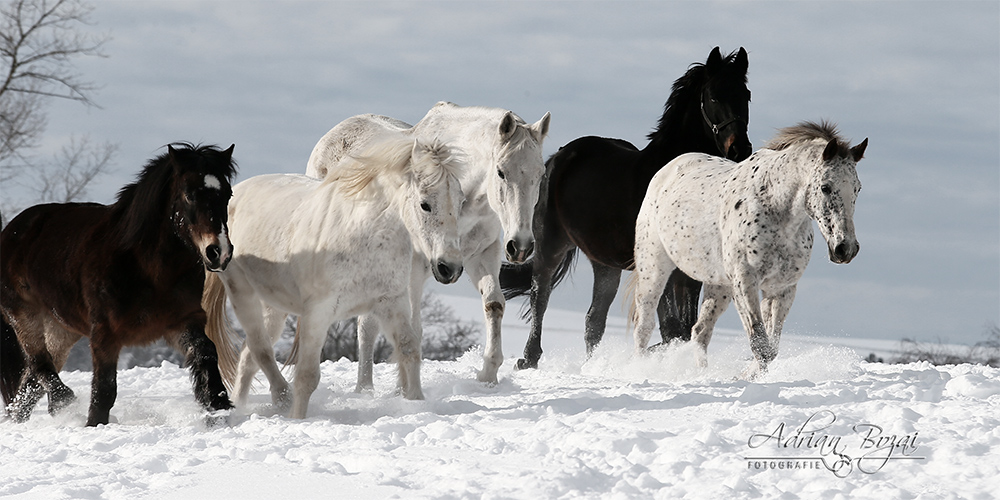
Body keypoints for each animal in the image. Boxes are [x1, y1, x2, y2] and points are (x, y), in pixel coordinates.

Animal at [0, 144, 237, 426]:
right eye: (189, 194)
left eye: (227, 194)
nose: (218, 252)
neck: (144, 266)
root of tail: (11, 230)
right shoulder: (105, 334)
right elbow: (104, 388)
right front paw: (94, 424)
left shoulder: (181, 321)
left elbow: (206, 352)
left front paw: (218, 405)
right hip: (24, 316)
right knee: (39, 364)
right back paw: (62, 403)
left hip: (61, 328)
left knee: (29, 383)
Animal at [204, 137, 468, 418]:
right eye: (425, 204)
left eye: (461, 202)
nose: (449, 267)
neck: (362, 234)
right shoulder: (318, 312)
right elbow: (307, 376)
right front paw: (298, 419)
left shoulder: (392, 302)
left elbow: (409, 351)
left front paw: (417, 403)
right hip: (243, 294)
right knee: (260, 349)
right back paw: (279, 400)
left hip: (274, 307)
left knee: (248, 357)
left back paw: (243, 405)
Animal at [308, 100, 552, 382]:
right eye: (501, 172)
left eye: (541, 175)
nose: (520, 246)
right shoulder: (414, 268)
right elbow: (412, 327)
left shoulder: (480, 256)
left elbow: (494, 304)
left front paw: (488, 375)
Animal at [500, 47, 752, 370]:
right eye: (713, 97)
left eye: (745, 95)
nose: (739, 149)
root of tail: (558, 157)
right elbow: (673, 328)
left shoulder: (689, 272)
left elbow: (685, 327)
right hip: (550, 245)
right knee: (539, 295)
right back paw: (529, 358)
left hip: (605, 264)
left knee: (593, 320)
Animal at [636, 122, 864, 376]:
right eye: (825, 187)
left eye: (857, 189)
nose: (845, 248)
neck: (776, 210)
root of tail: (666, 172)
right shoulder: (745, 282)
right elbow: (760, 343)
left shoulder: (781, 289)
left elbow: (770, 348)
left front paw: (747, 375)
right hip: (653, 269)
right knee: (644, 327)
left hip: (719, 286)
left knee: (700, 331)